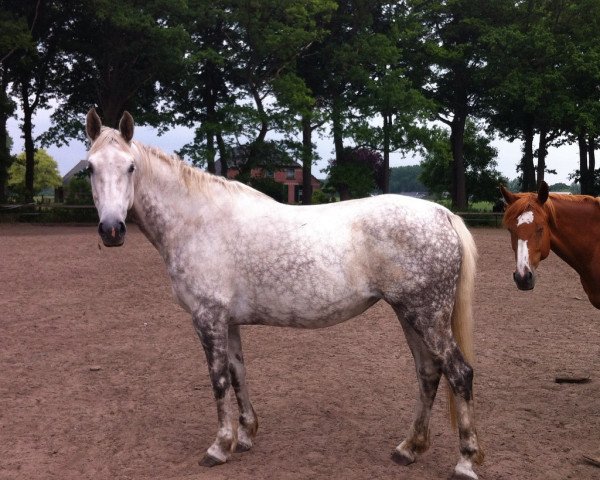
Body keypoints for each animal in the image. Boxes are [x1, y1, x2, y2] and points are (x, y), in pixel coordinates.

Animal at [84, 109, 486, 480]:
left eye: (131, 167)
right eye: (89, 168)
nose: (111, 230)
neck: (197, 222)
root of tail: (442, 214)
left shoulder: (207, 318)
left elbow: (218, 380)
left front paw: (219, 447)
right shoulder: (228, 322)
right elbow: (237, 372)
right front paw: (245, 435)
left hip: (427, 316)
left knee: (459, 373)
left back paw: (465, 462)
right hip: (409, 314)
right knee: (429, 372)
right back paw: (409, 448)